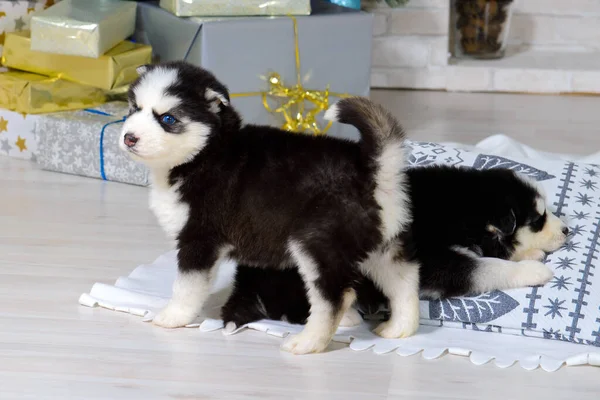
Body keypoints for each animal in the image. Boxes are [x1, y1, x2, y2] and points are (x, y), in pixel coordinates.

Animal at [119, 61, 414, 354]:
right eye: (134, 108)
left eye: (168, 118)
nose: (129, 138)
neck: (205, 152)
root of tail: (370, 168)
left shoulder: (199, 239)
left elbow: (185, 286)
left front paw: (173, 316)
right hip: (382, 245)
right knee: (403, 279)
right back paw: (399, 328)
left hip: (316, 245)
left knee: (336, 296)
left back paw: (308, 342)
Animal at [221, 165, 568, 328]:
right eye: (538, 219)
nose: (568, 230)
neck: (464, 208)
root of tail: (243, 278)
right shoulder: (433, 261)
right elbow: (489, 267)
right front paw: (534, 270)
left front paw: (531, 254)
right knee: (295, 308)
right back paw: (348, 316)